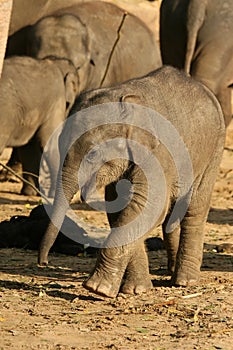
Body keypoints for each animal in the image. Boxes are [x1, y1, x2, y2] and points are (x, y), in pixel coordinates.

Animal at [37, 65, 226, 296]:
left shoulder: (159, 153)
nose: (43, 262)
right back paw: (171, 272)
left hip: (214, 150)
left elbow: (147, 206)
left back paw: (185, 282)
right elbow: (122, 209)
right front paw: (136, 290)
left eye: (92, 155)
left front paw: (97, 289)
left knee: (195, 207)